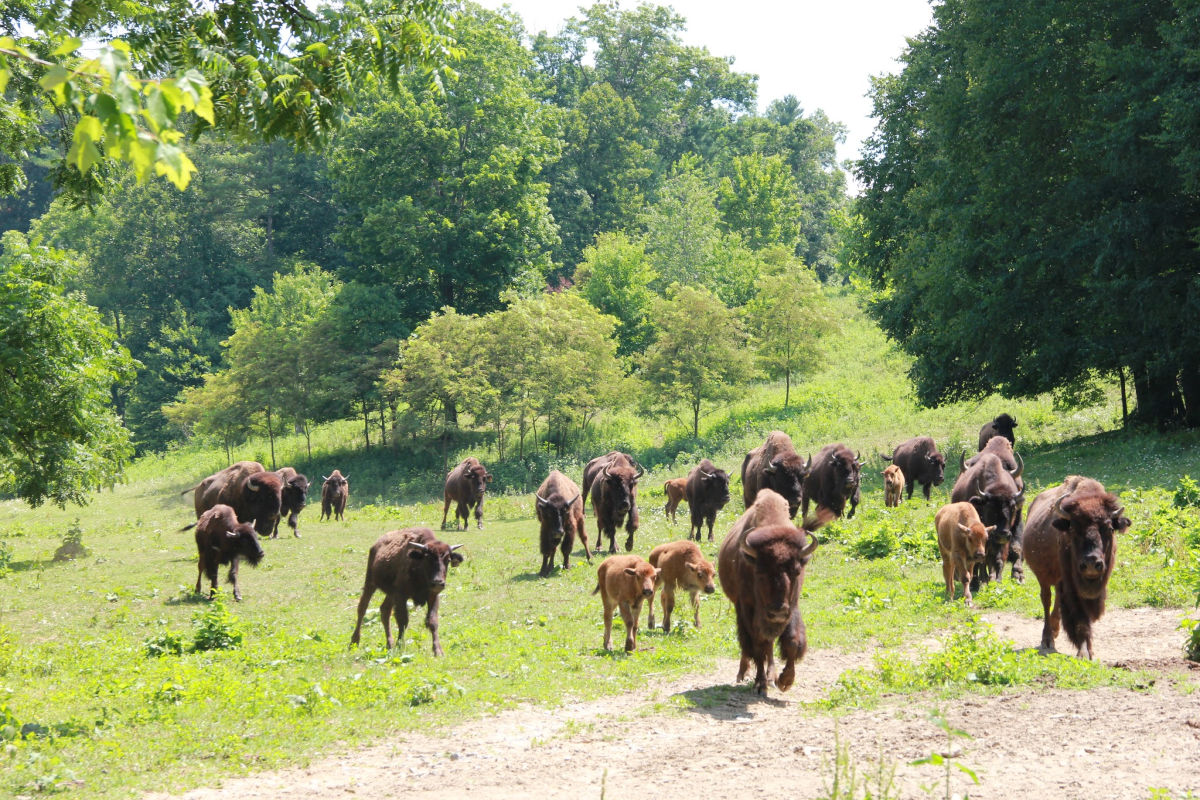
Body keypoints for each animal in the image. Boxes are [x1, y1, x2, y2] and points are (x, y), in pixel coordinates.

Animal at [715, 489, 820, 695]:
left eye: (796, 571)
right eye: (760, 572)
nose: (777, 611)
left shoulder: (792, 607)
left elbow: (792, 641)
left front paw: (785, 680)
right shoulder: (748, 609)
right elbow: (757, 645)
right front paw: (760, 684)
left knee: (768, 645)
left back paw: (772, 676)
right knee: (749, 644)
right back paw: (744, 674)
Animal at [945, 450, 1022, 587]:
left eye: (1013, 507)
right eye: (990, 507)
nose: (1002, 534)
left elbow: (1001, 557)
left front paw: (999, 579)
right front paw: (976, 583)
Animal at [1017, 479, 1128, 662]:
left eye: (1110, 529)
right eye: (1073, 529)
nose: (1091, 563)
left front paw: (1088, 650)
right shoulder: (1072, 587)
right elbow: (1080, 619)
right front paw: (1084, 652)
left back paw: (1054, 630)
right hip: (1044, 578)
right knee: (1046, 599)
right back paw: (1047, 639)